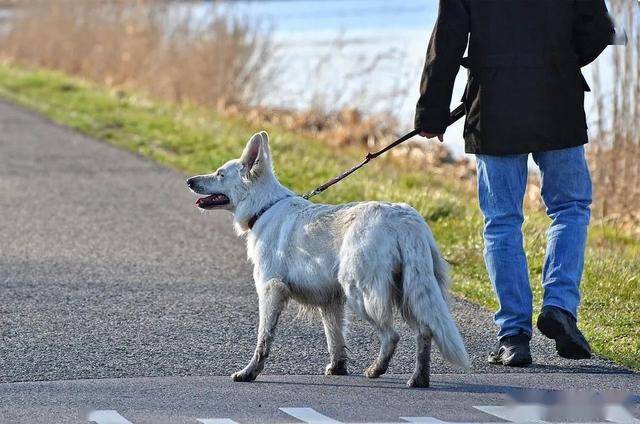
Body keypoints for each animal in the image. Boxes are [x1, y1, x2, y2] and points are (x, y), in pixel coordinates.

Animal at [185, 132, 470, 388]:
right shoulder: (330, 301)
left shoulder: (270, 290)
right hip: (409, 292)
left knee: (392, 335)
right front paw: (338, 368)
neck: (264, 207)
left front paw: (249, 372)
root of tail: (405, 219)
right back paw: (419, 379)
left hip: (362, 294)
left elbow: (263, 339)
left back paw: (377, 370)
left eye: (220, 174)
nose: (189, 181)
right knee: (425, 331)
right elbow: (335, 339)